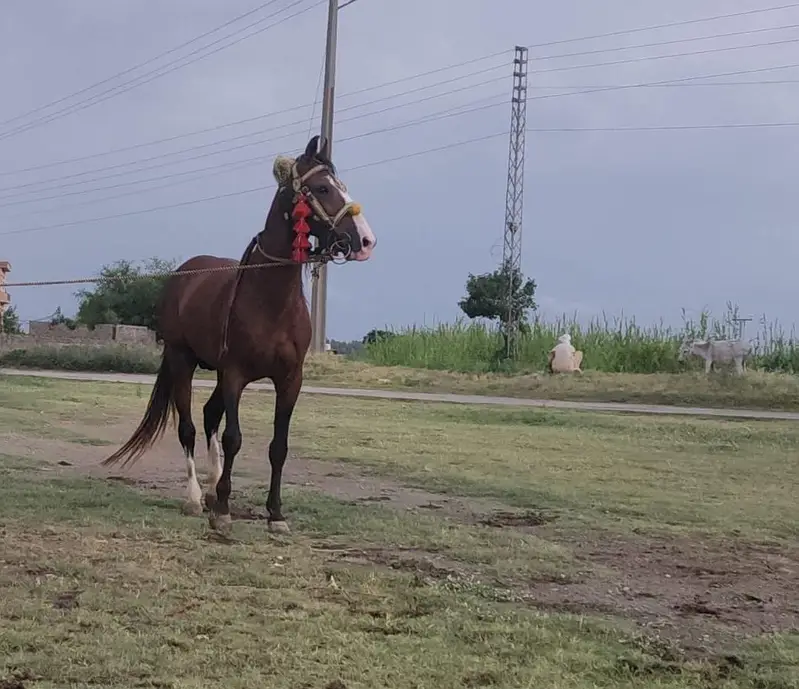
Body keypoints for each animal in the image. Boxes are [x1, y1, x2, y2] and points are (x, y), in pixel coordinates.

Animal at [101, 135, 376, 536]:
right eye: (323, 188)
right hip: (182, 360)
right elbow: (233, 438)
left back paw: (215, 485)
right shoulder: (235, 374)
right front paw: (223, 511)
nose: (366, 240)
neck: (270, 300)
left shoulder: (290, 379)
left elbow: (279, 446)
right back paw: (197, 497)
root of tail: (184, 273)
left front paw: (275, 514)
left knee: (208, 415)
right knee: (189, 427)